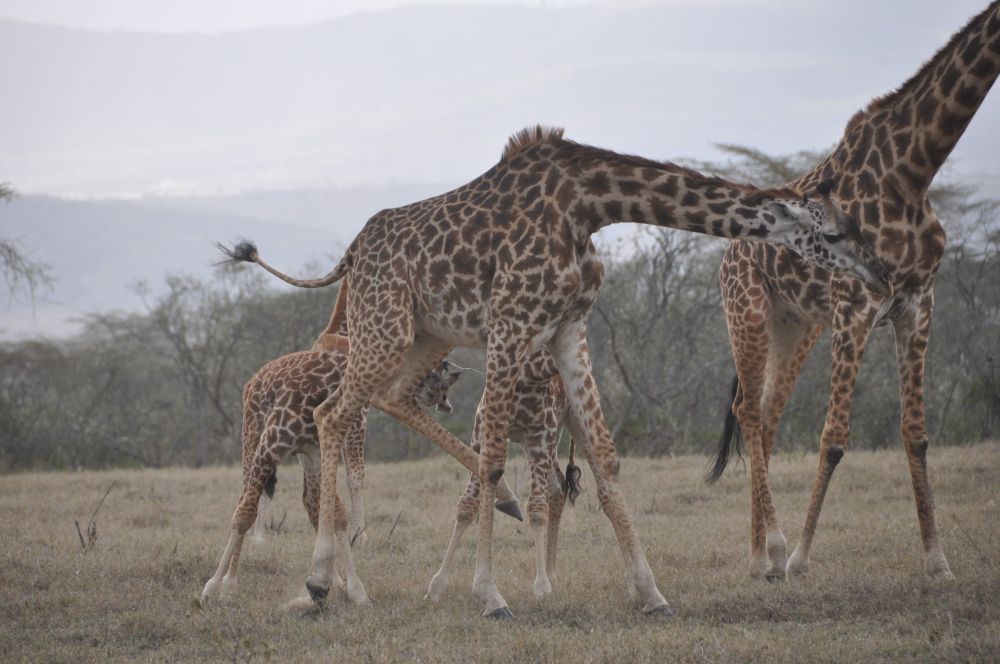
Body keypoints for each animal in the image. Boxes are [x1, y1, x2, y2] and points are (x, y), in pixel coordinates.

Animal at [200, 324, 459, 605]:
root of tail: (253, 380)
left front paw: (353, 588)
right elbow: (244, 514)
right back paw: (230, 581)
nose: (453, 374)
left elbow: (337, 515)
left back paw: (333, 579)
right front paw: (216, 587)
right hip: (251, 438)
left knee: (311, 504)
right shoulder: (269, 447)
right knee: (245, 499)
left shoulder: (316, 454)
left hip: (304, 457)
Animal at [707, 2, 1000, 582]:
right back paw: (773, 550)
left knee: (767, 417)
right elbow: (834, 437)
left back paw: (758, 558)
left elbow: (916, 434)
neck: (913, 170)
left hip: (796, 326)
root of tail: (730, 249)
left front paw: (937, 561)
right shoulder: (856, 305)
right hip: (746, 312)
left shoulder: (917, 304)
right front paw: (801, 557)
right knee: (747, 410)